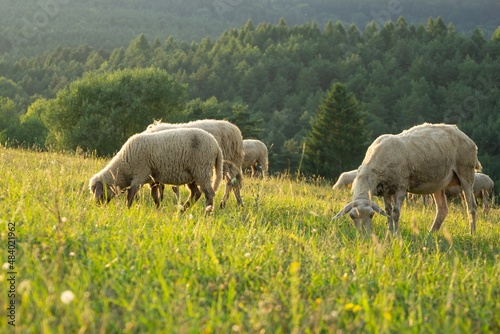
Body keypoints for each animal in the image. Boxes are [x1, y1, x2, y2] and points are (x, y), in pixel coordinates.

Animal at [89, 126, 223, 213]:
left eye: (100, 193)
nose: (98, 207)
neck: (123, 168)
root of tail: (216, 146)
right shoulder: (152, 179)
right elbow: (154, 197)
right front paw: (158, 210)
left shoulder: (139, 175)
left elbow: (130, 196)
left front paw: (126, 211)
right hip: (193, 174)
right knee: (196, 193)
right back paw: (182, 211)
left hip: (202, 169)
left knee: (209, 194)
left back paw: (206, 214)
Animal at [332, 122, 480, 235]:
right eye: (352, 216)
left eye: (371, 215)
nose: (364, 235)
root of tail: (465, 136)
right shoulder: (386, 191)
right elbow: (388, 212)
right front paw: (389, 232)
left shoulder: (401, 187)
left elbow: (395, 213)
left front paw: (396, 235)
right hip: (439, 183)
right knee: (442, 210)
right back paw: (430, 234)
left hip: (466, 172)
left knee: (471, 207)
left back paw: (472, 233)